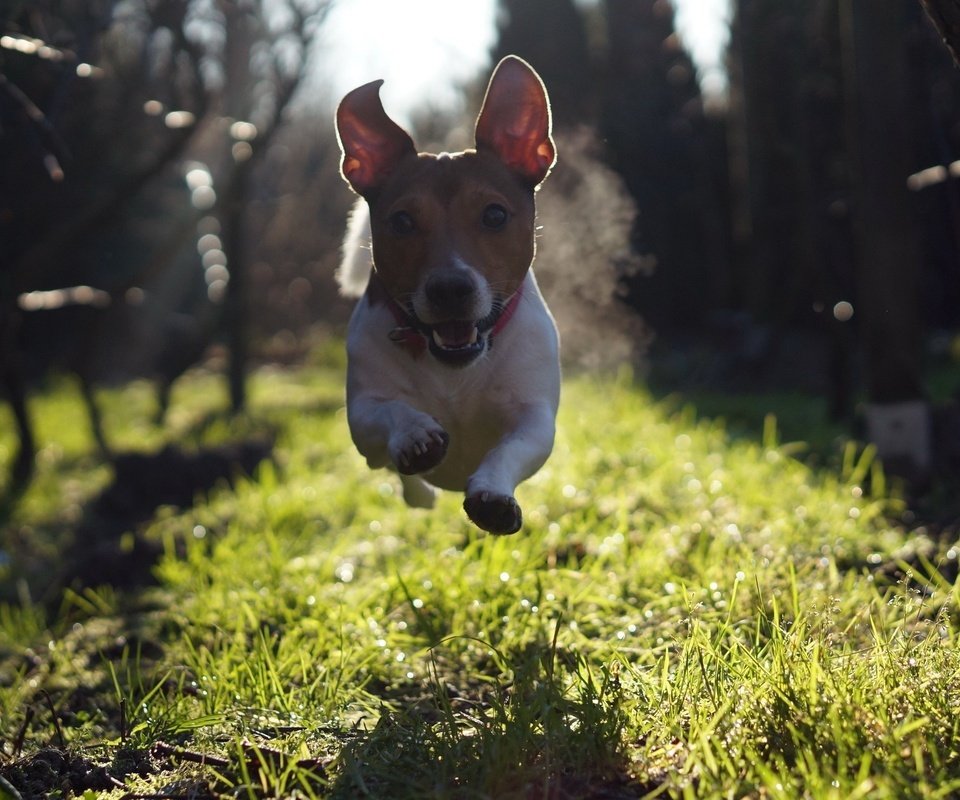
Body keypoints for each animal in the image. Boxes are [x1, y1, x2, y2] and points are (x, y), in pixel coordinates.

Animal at [336, 54, 560, 532]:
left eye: (494, 215)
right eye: (402, 221)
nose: (450, 289)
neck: (453, 366)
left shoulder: (534, 418)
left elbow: (511, 447)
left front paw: (492, 493)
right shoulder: (362, 414)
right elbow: (388, 412)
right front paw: (415, 434)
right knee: (403, 482)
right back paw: (419, 488)